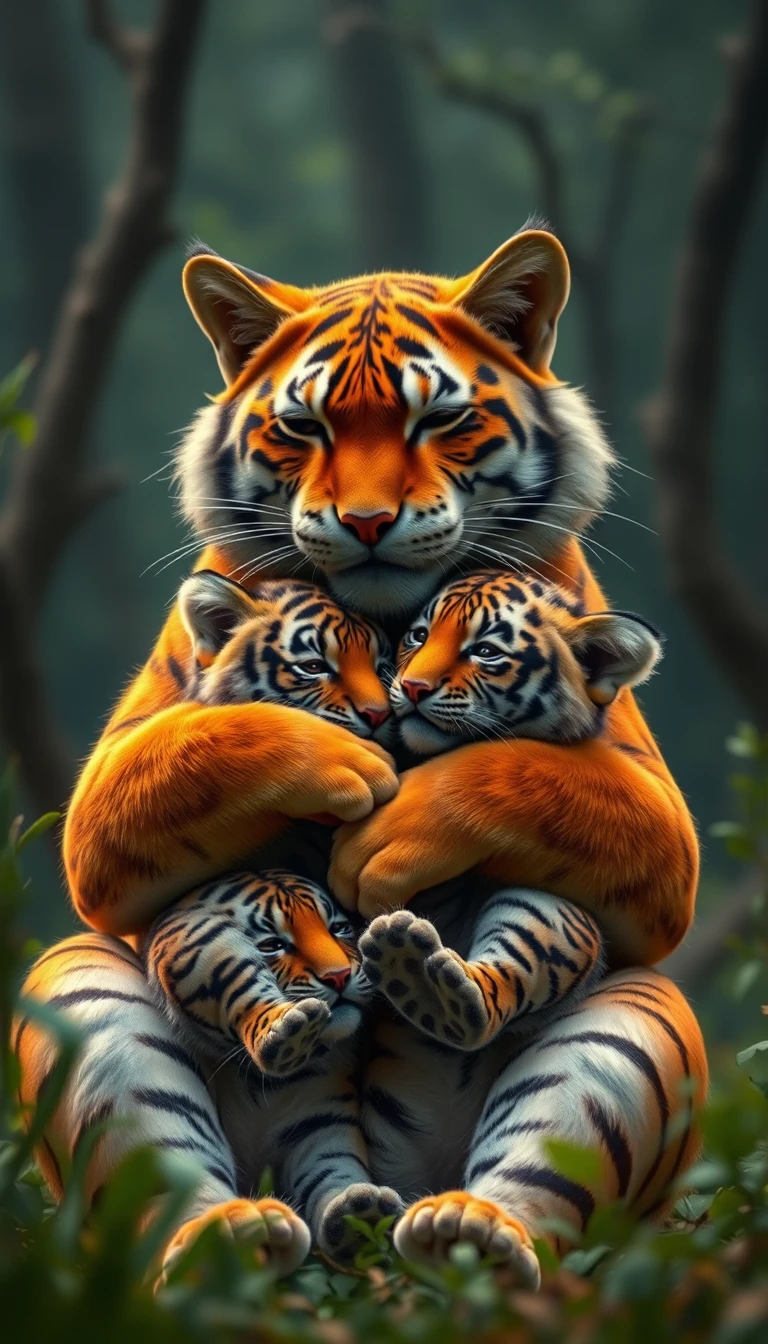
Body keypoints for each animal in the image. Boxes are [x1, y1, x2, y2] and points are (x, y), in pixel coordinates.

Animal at [20, 226, 706, 1283]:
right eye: (305, 429)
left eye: (440, 420)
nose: (369, 522)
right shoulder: (108, 795)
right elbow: (197, 747)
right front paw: (347, 764)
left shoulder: (659, 818)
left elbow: (530, 769)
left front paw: (387, 834)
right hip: (84, 989)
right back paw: (234, 1232)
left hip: (632, 1019)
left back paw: (464, 1218)